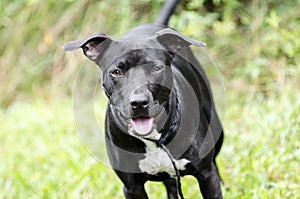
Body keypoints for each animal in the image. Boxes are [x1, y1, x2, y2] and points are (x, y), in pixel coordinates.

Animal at [62, 0, 223, 198]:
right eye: (117, 72)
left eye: (156, 68)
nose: (139, 103)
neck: (154, 139)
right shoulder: (132, 187)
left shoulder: (206, 175)